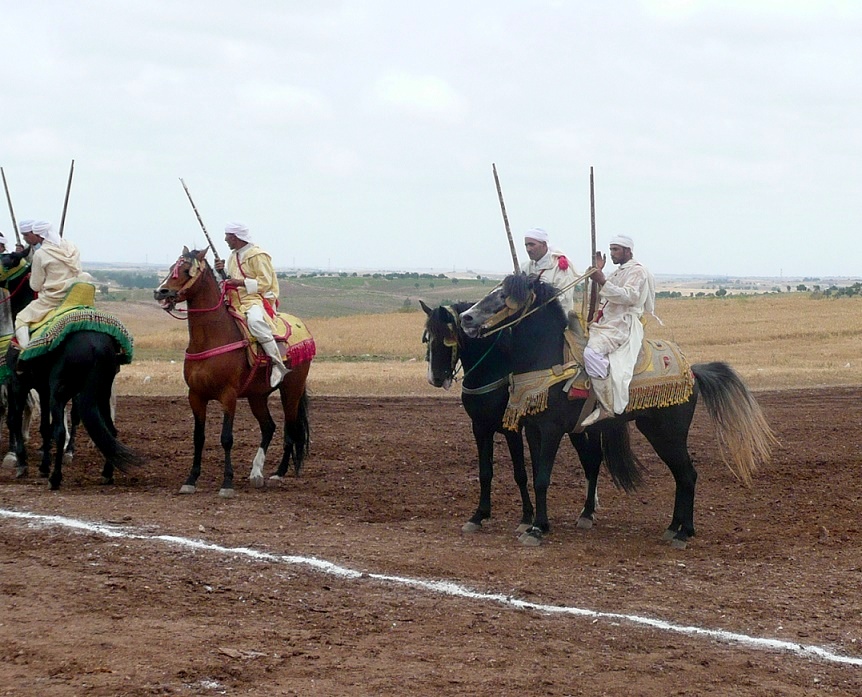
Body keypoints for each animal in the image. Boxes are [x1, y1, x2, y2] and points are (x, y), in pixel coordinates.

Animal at [154, 245, 314, 494]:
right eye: (172, 267)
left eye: (187, 270)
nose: (160, 292)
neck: (211, 337)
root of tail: (303, 329)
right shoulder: (196, 396)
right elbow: (198, 437)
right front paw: (191, 479)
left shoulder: (228, 396)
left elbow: (226, 438)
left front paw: (227, 482)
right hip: (257, 396)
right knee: (269, 427)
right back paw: (256, 473)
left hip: (291, 390)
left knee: (290, 429)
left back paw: (278, 474)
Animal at [422, 298, 604, 540]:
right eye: (427, 338)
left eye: (447, 337)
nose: (434, 378)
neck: (493, 369)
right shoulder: (480, 427)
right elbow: (485, 472)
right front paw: (479, 515)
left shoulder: (513, 429)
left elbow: (520, 474)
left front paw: (526, 518)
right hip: (574, 428)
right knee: (587, 461)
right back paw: (587, 510)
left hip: (590, 427)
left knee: (594, 461)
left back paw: (587, 513)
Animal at [462, 274, 780, 548]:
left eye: (503, 295)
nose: (467, 318)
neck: (549, 360)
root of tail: (691, 370)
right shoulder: (532, 429)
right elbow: (534, 474)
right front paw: (536, 523)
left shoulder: (552, 430)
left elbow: (542, 478)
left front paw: (537, 528)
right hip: (654, 432)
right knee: (680, 475)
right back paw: (673, 528)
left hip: (670, 434)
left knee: (688, 474)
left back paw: (684, 532)